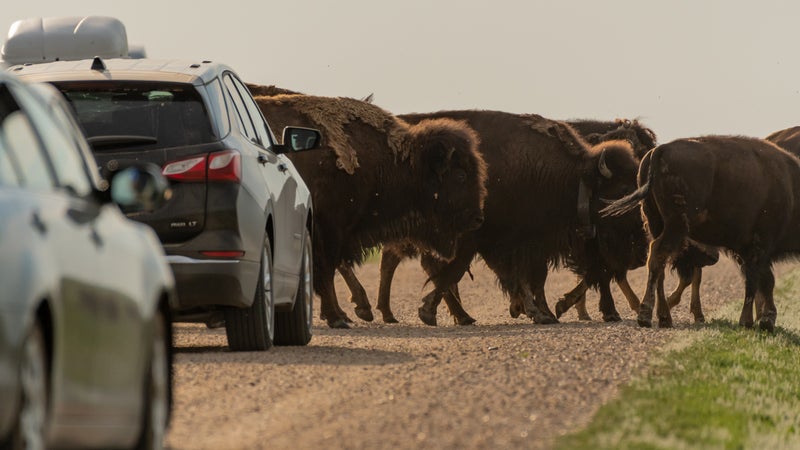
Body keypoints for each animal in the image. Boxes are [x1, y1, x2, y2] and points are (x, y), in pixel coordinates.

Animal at [600, 134, 800, 330]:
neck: (790, 190)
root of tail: (660, 150)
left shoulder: (749, 251)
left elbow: (762, 281)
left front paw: (763, 320)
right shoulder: (760, 246)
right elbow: (758, 282)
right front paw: (753, 321)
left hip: (655, 223)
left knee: (658, 264)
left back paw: (664, 318)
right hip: (676, 226)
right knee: (658, 255)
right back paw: (647, 317)